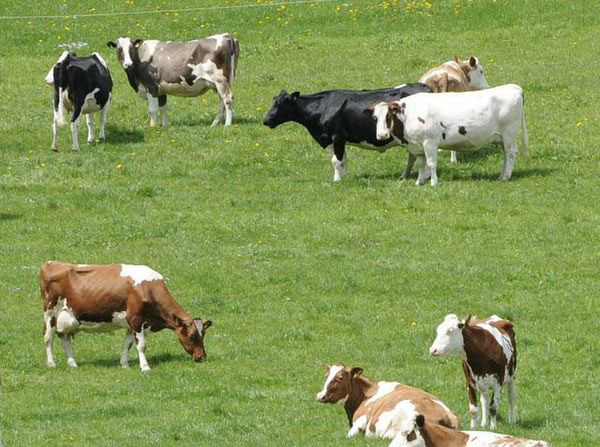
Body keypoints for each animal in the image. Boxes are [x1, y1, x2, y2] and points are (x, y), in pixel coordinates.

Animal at [39, 262, 213, 374]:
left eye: (203, 334)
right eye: (192, 335)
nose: (202, 357)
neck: (148, 289)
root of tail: (51, 263)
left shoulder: (133, 324)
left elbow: (128, 344)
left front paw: (124, 364)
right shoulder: (136, 320)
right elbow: (141, 346)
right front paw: (145, 367)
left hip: (67, 318)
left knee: (64, 338)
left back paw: (73, 363)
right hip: (50, 313)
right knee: (48, 338)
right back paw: (51, 363)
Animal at [106, 32, 238, 126]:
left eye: (131, 48)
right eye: (119, 49)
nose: (128, 64)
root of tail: (225, 35)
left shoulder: (151, 87)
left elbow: (152, 110)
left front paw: (153, 127)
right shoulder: (161, 90)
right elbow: (163, 107)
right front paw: (165, 126)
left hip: (221, 81)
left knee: (227, 99)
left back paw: (227, 125)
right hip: (220, 83)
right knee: (221, 101)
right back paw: (214, 124)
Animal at [262, 84, 432, 182]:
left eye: (280, 103)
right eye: (274, 101)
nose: (265, 120)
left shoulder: (337, 137)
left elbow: (336, 160)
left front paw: (337, 180)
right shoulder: (337, 140)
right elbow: (343, 160)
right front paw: (343, 177)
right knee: (413, 156)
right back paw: (404, 176)